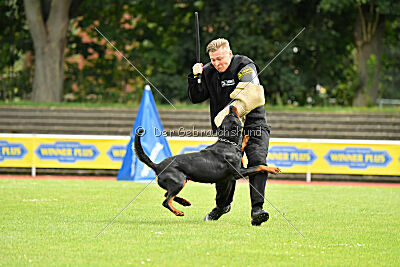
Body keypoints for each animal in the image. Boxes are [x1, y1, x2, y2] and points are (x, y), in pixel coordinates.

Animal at [133, 105, 280, 217]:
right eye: (233, 115)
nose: (231, 106)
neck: (228, 143)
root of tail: (157, 165)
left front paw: (246, 138)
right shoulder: (238, 173)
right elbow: (259, 166)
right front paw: (273, 168)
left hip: (179, 182)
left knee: (166, 195)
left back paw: (184, 202)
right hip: (179, 181)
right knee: (166, 201)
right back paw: (178, 211)